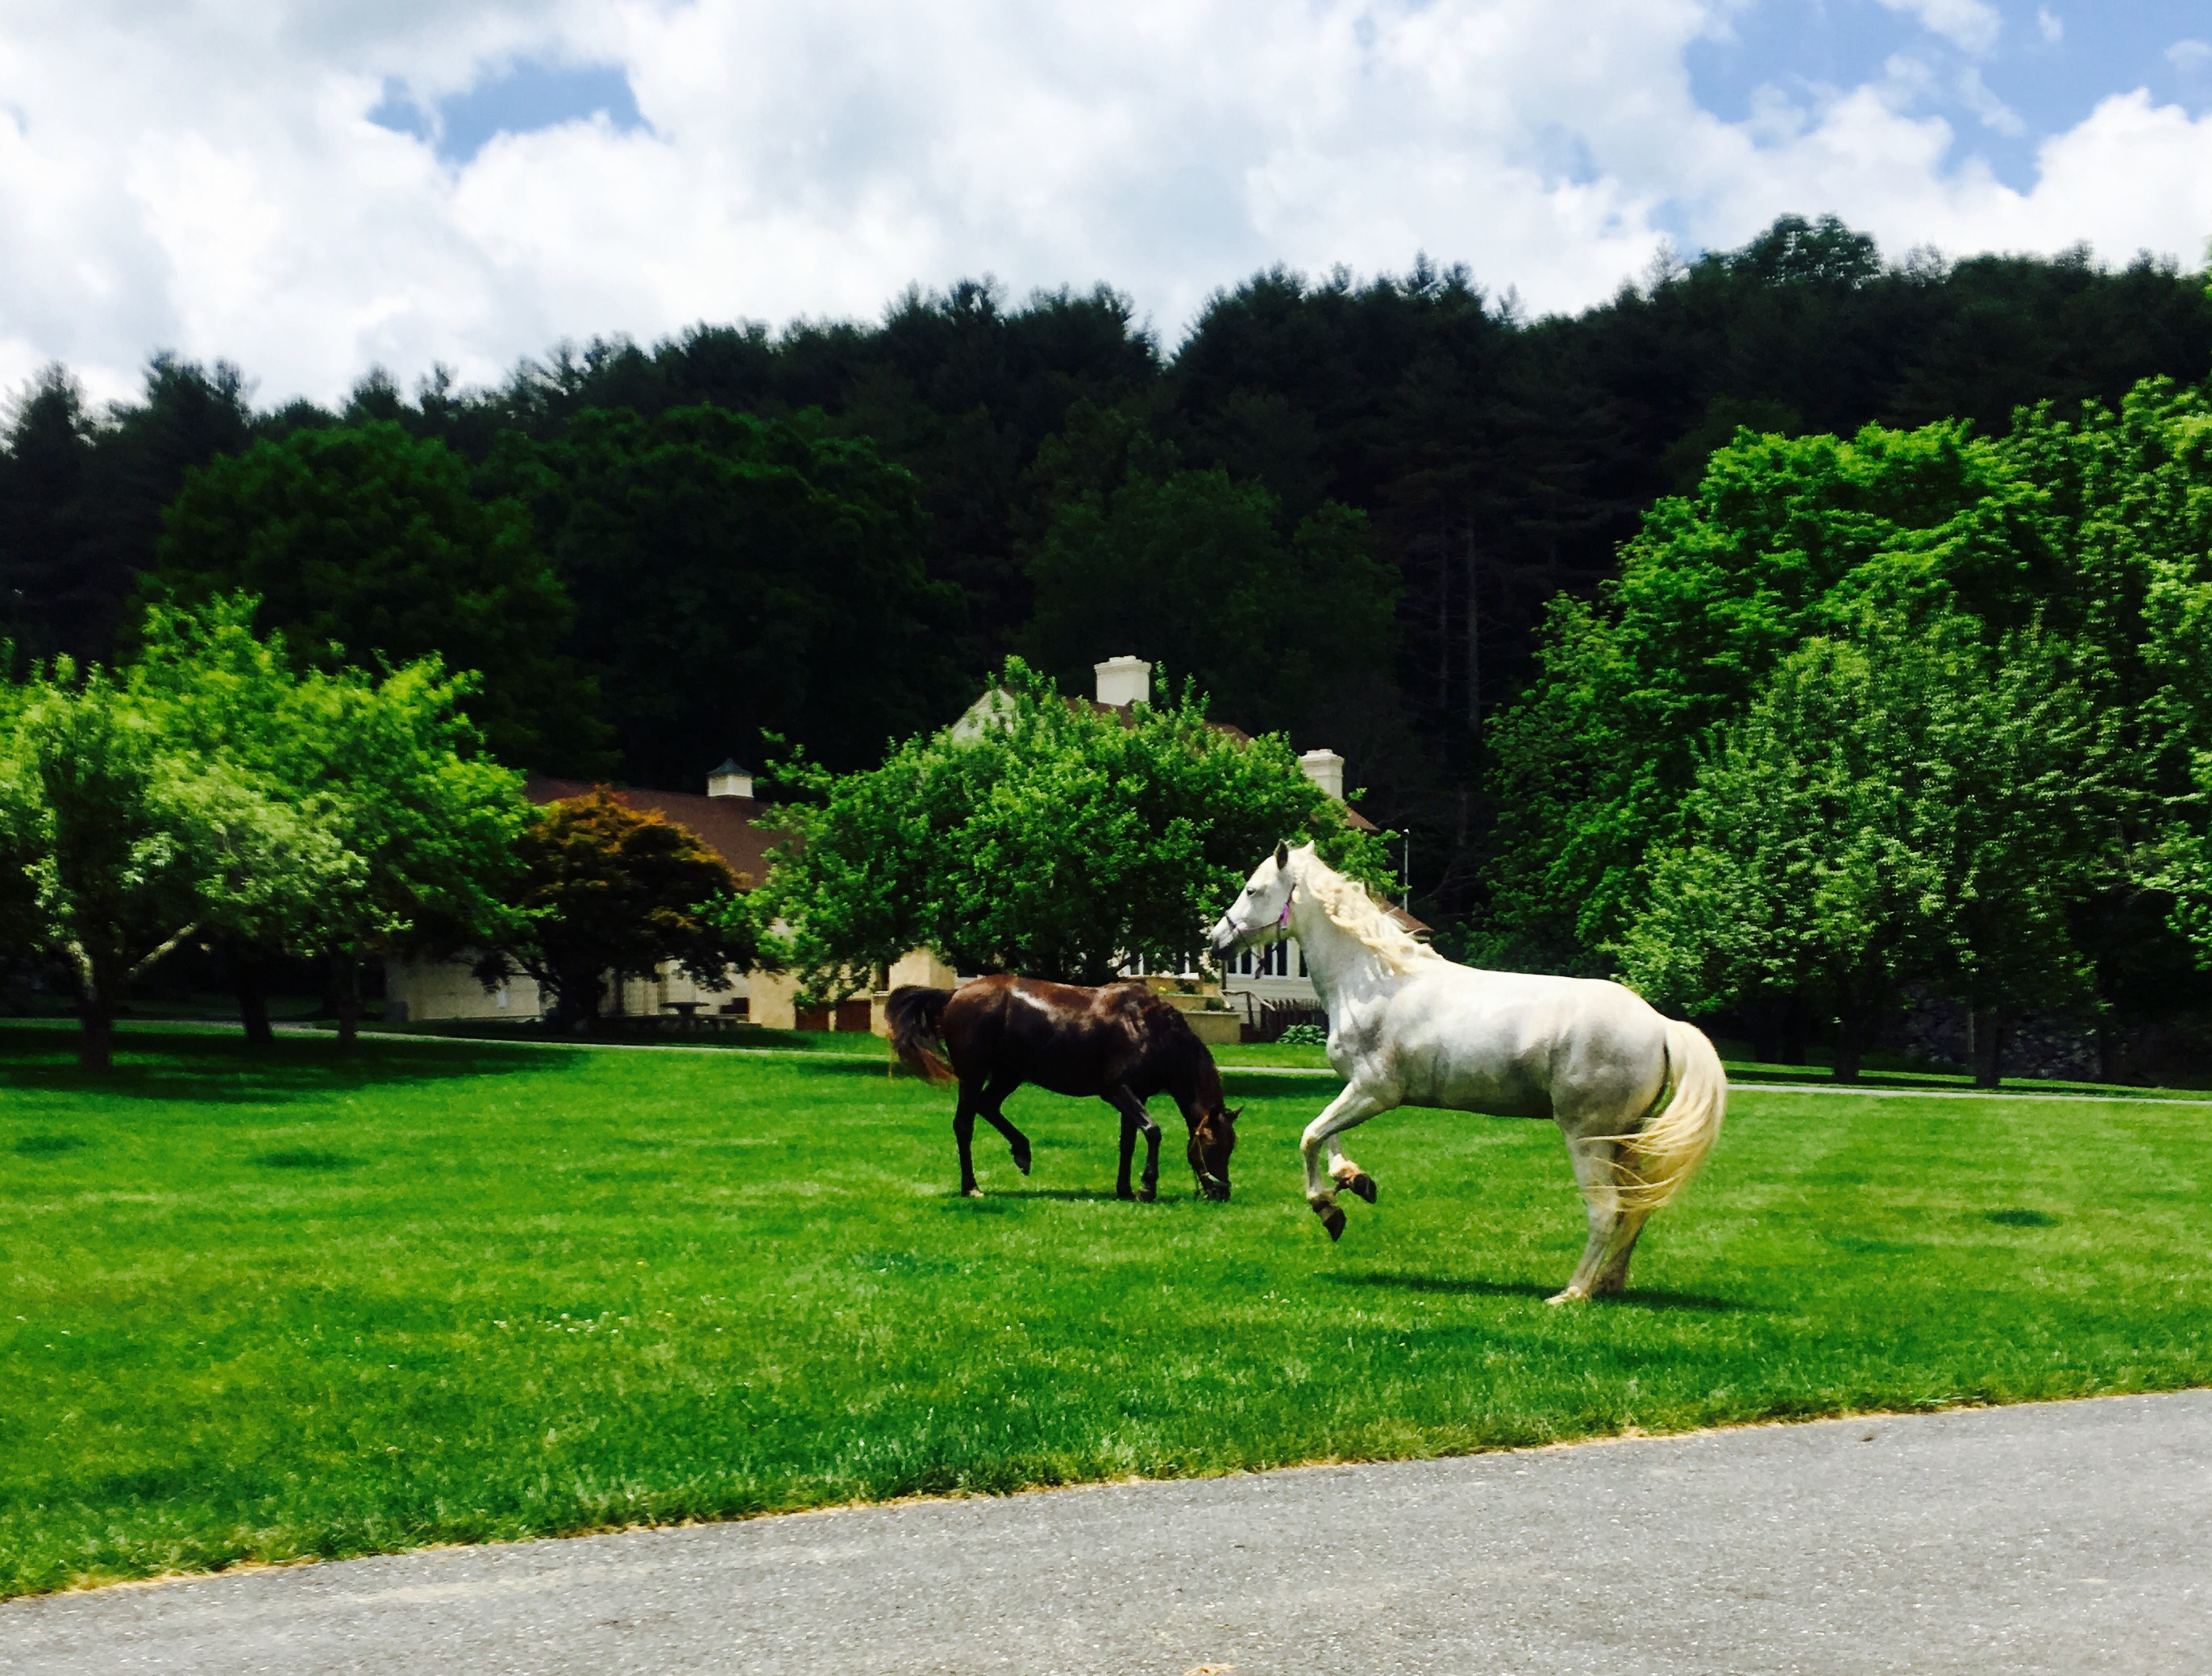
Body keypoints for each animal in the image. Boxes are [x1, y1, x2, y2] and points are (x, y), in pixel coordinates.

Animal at [886, 976, 1239, 1203]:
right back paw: (970, 1186)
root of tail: (953, 995)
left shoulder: (1137, 1095)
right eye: (1211, 1145)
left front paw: (1125, 1189)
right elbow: (1152, 1131)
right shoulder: (1117, 1090)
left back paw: (1022, 1151)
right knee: (964, 1125)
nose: (1222, 1192)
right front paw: (1147, 1188)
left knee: (988, 1107)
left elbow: (1128, 1143)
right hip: (973, 1076)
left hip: (1009, 1075)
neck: (1149, 1028)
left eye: (1231, 1147)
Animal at [1209, 842, 1725, 1302]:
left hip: (1588, 1137)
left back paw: (1573, 1293)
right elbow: (1328, 1136)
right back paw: (1609, 1284)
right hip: (1626, 1139)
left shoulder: (1375, 1092)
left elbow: (1310, 1136)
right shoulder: (1355, 1090)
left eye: (1253, 889)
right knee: (1636, 1208)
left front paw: (1328, 1208)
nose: (1216, 942)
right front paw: (1354, 1180)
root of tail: (1659, 1024)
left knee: (1607, 1210)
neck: (1373, 982)